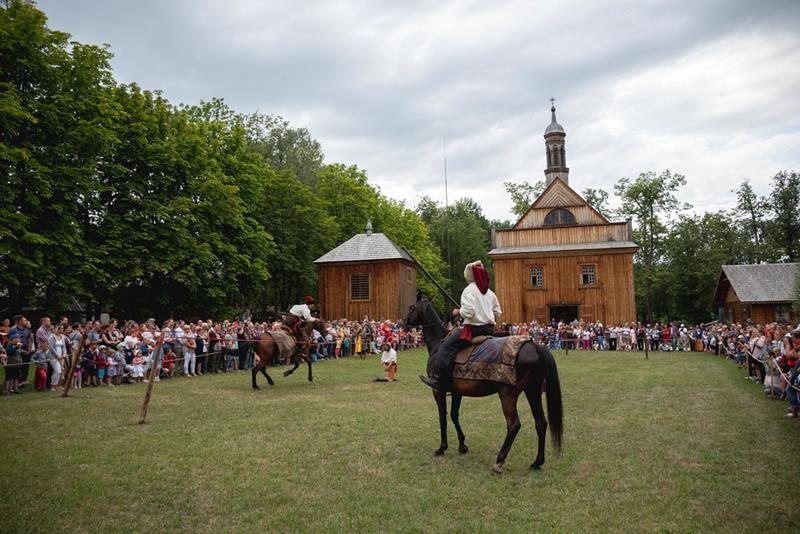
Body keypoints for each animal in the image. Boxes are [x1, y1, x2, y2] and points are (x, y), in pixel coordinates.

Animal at [404, 295, 563, 473]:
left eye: (411, 307)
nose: (404, 323)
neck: (438, 343)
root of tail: (534, 346)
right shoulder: (457, 392)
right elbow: (454, 415)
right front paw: (462, 445)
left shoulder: (438, 390)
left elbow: (442, 417)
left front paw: (442, 448)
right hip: (532, 392)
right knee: (541, 423)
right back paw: (537, 462)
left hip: (508, 395)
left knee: (514, 425)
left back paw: (499, 461)